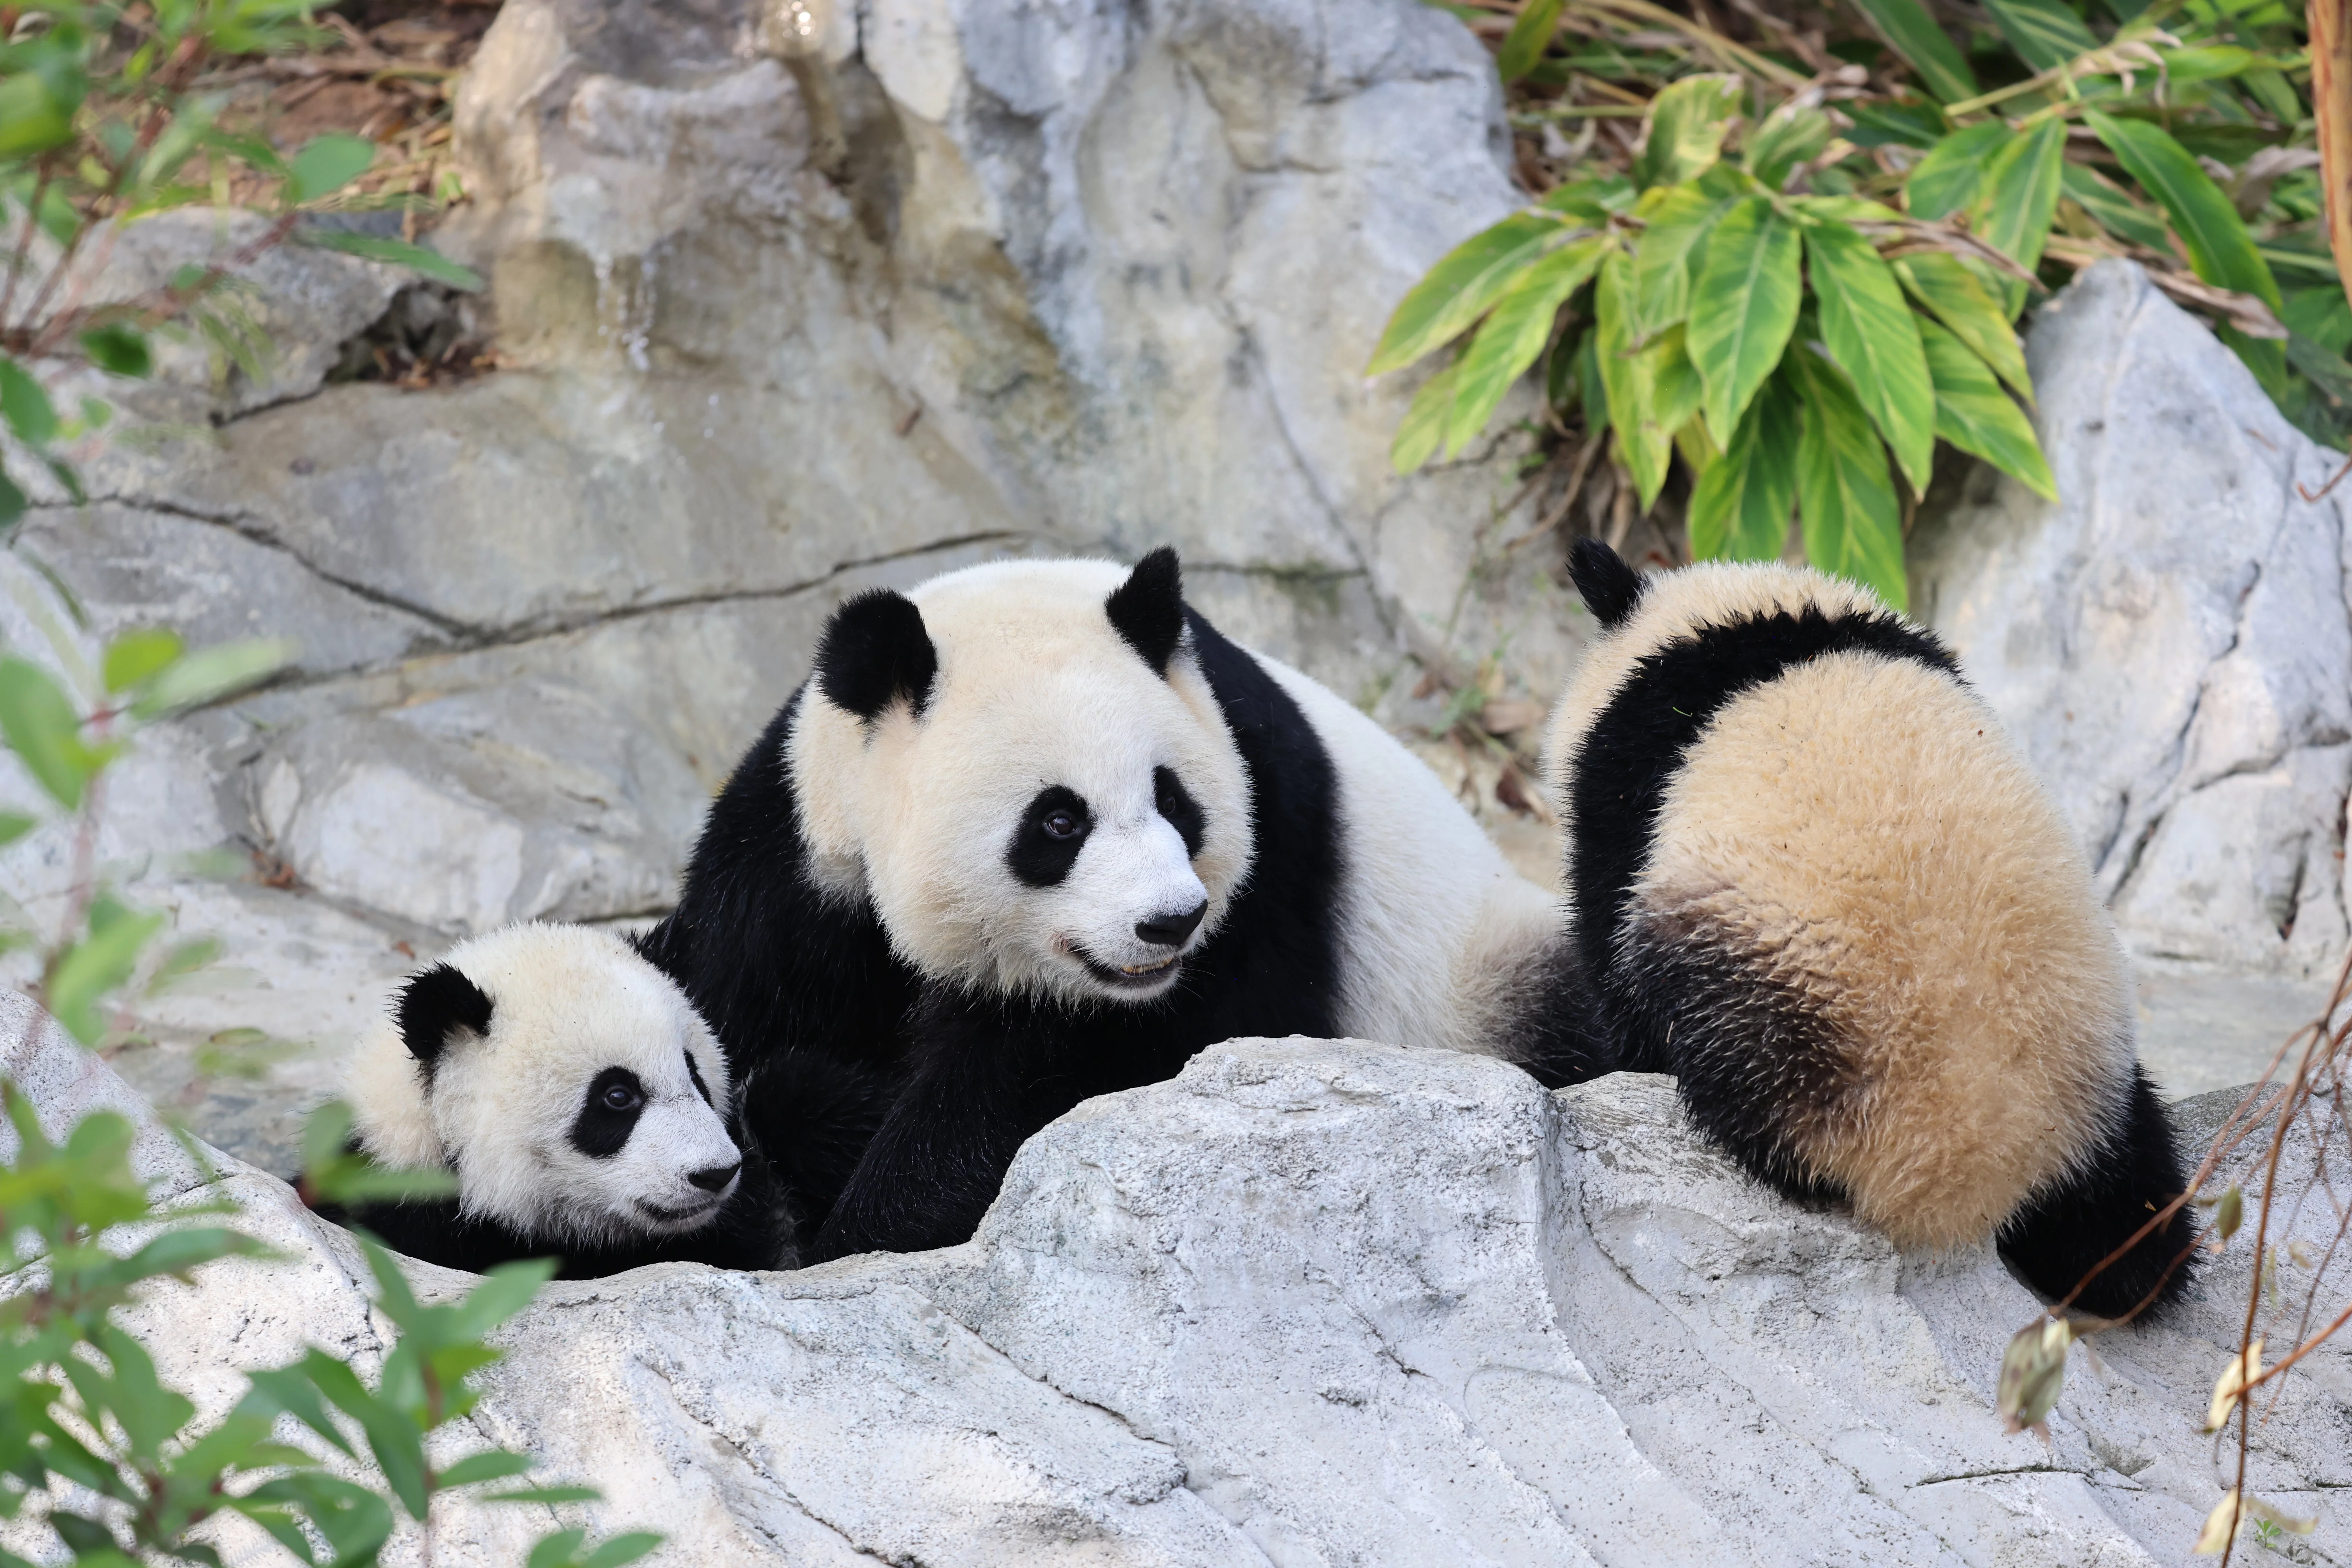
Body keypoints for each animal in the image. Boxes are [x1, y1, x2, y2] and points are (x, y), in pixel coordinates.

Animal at [635, 548, 1580, 1261]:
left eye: (1173, 798)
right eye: (1059, 820)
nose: (1171, 921)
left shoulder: (1267, 864)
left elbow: (1052, 1091)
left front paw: (868, 1216)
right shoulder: (799, 863)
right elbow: (722, 1006)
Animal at [1545, 539, 2196, 1318]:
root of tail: (1976, 1169)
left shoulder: (1633, 781)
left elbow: (1611, 947)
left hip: (1776, 989)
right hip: (2099, 1067)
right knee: (2132, 1210)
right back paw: (2134, 1260)